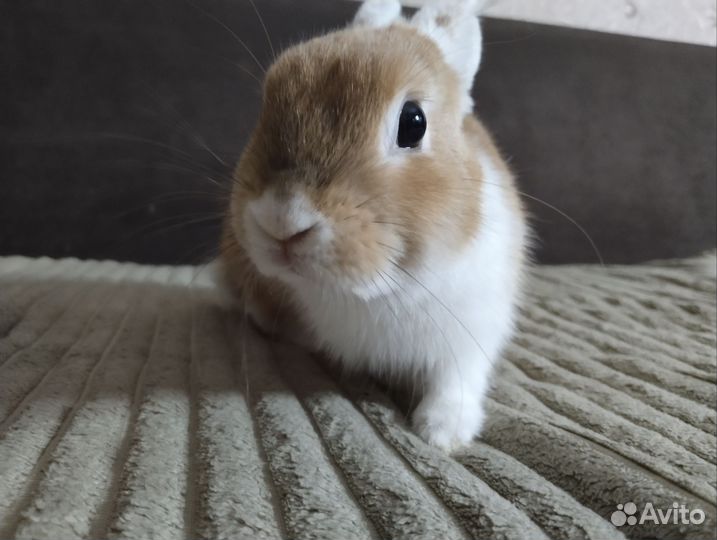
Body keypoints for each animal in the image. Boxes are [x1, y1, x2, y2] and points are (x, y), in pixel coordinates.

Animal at [218, 0, 529, 451]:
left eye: (414, 122)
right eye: (268, 103)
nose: (281, 221)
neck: (379, 289)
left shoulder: (475, 329)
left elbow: (456, 379)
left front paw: (442, 433)